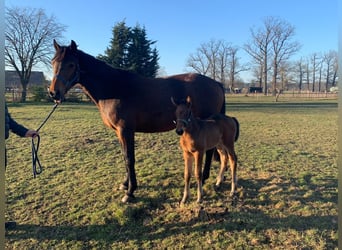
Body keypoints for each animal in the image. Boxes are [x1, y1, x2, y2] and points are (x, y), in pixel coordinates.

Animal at [47, 40, 224, 202]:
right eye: (52, 62)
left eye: (71, 64)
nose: (54, 93)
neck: (114, 88)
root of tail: (216, 83)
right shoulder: (119, 132)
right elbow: (125, 157)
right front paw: (125, 184)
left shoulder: (126, 130)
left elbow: (129, 158)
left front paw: (130, 192)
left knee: (209, 151)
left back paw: (205, 178)